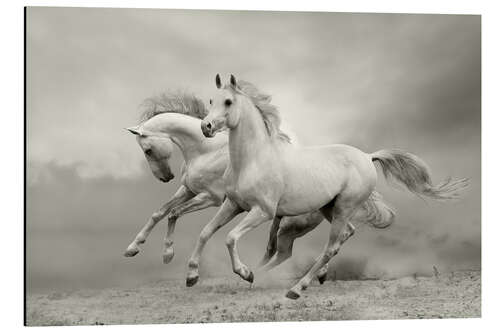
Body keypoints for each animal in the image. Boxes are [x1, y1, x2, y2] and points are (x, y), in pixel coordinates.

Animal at [194, 74, 464, 298]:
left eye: (228, 102)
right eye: (211, 100)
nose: (206, 127)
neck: (253, 159)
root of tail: (368, 157)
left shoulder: (262, 211)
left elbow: (230, 237)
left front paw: (245, 272)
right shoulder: (233, 204)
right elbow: (206, 232)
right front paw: (191, 275)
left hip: (343, 208)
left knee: (331, 247)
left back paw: (296, 288)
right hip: (329, 208)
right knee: (345, 234)